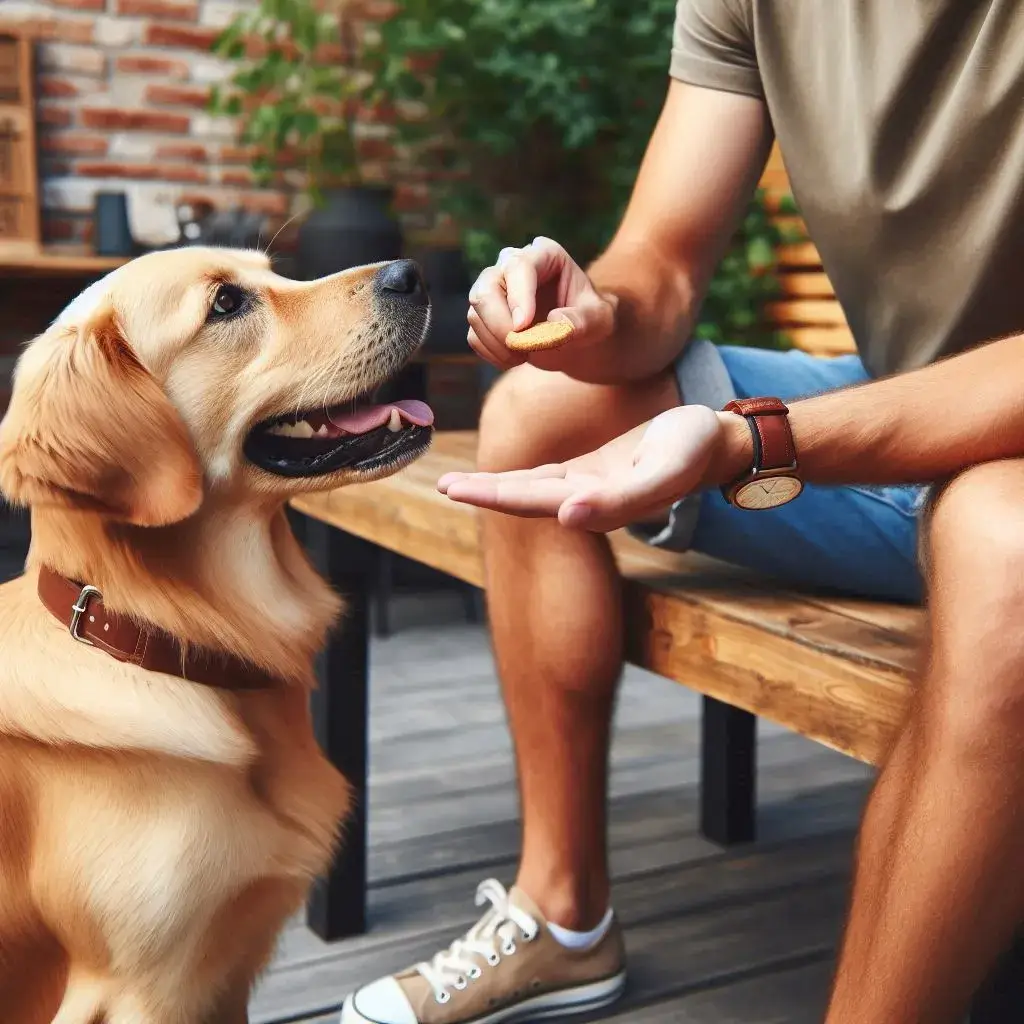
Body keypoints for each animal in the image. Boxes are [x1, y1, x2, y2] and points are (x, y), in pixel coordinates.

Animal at [0, 247, 436, 1024]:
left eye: (275, 272)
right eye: (226, 305)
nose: (411, 273)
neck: (153, 643)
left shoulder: (225, 973)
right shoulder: (141, 991)